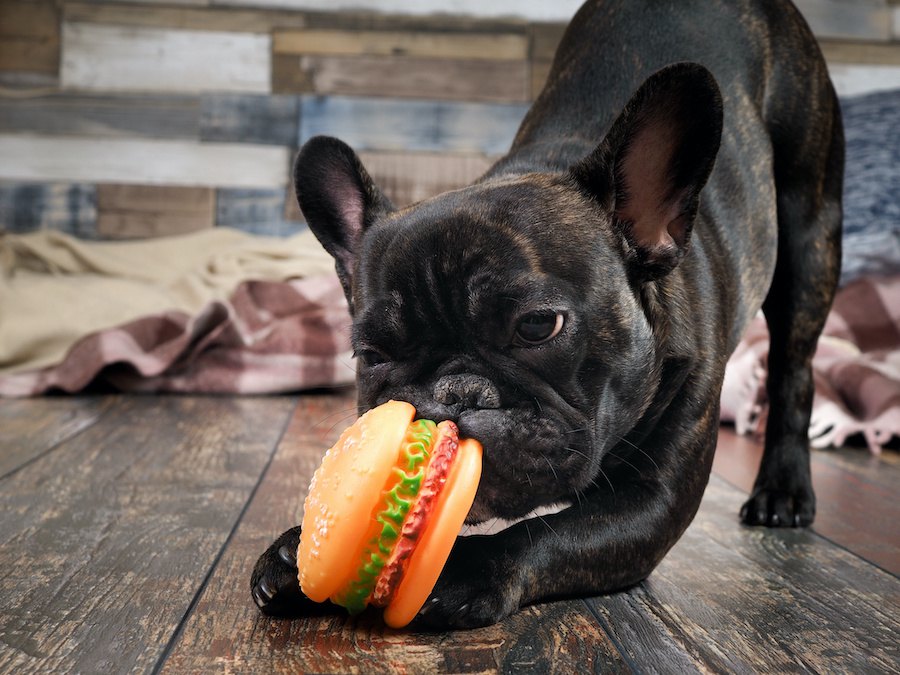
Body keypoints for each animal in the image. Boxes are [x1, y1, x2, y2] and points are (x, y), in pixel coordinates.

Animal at [248, 0, 844, 628]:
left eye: (538, 326)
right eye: (371, 354)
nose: (453, 395)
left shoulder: (651, 497)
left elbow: (548, 535)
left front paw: (460, 568)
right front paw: (296, 547)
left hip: (810, 240)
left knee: (794, 371)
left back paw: (783, 489)